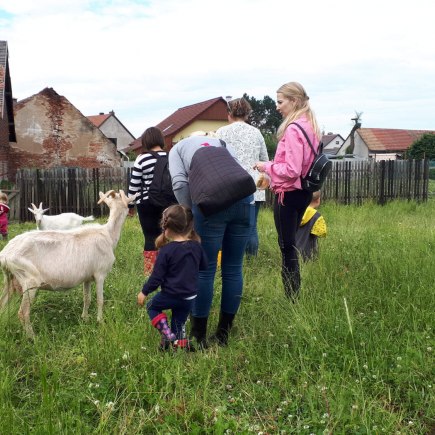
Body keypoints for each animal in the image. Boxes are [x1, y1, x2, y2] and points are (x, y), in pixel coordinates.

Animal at [0, 189, 136, 338]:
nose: (132, 212)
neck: (108, 234)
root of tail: (5, 254)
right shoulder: (100, 274)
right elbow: (100, 300)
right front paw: (100, 322)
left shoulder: (87, 278)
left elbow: (87, 298)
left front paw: (85, 318)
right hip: (29, 280)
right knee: (23, 312)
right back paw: (33, 337)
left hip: (10, 279)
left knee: (2, 306)